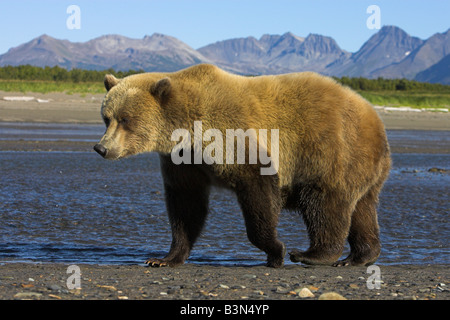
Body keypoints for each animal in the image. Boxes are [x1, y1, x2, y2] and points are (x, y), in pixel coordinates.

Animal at [94, 64, 390, 268]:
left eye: (126, 119)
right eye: (107, 118)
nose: (102, 148)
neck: (187, 131)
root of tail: (374, 115)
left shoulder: (231, 136)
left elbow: (259, 192)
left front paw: (276, 251)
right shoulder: (183, 161)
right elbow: (185, 206)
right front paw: (164, 258)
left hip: (330, 150)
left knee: (324, 203)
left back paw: (313, 254)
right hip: (361, 164)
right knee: (361, 208)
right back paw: (360, 256)